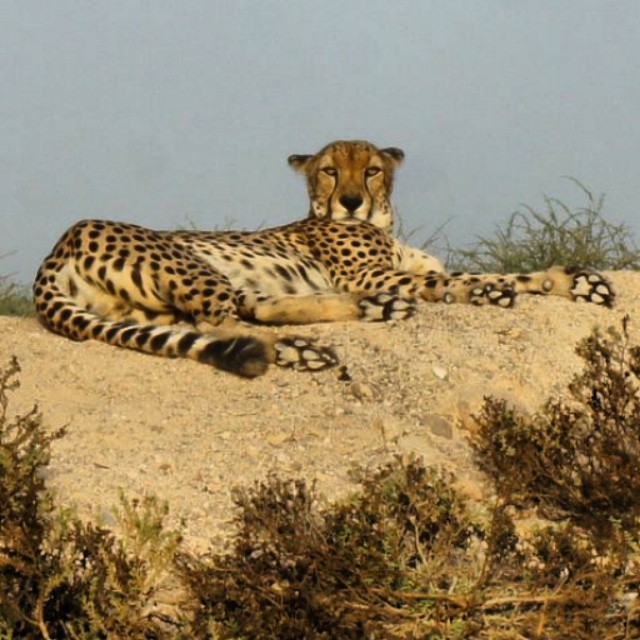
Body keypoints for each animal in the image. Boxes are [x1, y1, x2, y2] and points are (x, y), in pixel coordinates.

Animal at [33, 139, 616, 376]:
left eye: (372, 170)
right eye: (330, 171)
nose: (352, 200)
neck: (381, 224)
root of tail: (57, 247)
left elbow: (493, 271)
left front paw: (574, 281)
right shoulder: (370, 274)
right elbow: (457, 281)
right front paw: (488, 291)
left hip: (157, 302)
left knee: (235, 316)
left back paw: (360, 318)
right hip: (187, 262)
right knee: (224, 321)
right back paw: (315, 343)